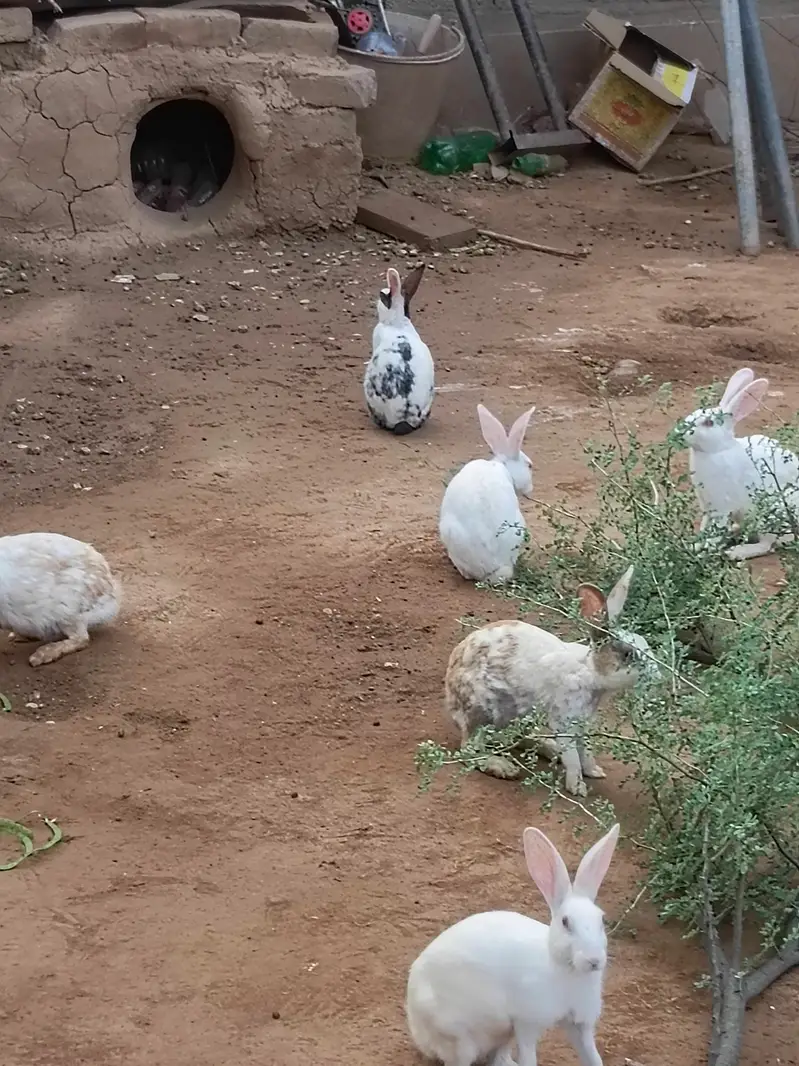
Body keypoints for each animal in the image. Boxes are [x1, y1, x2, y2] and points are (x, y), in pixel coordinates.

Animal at [406, 820, 620, 1066]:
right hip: (460, 1038)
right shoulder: (526, 1023)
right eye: (566, 922)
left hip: (502, 1034)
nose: (594, 960)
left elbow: (593, 1057)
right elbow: (528, 1057)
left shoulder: (579, 1024)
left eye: (601, 920)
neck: (566, 971)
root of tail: (415, 1024)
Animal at [445, 565, 657, 796]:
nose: (657, 676)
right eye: (628, 654)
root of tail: (450, 695)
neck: (590, 672)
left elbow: (585, 750)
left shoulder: (583, 724)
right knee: (469, 749)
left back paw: (549, 751)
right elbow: (573, 756)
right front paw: (578, 788)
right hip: (483, 713)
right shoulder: (564, 721)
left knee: (517, 738)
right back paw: (504, 767)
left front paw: (594, 771)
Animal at [682, 366, 799, 561]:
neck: (717, 450)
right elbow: (705, 527)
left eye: (709, 423)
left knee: (767, 545)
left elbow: (715, 530)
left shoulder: (721, 507)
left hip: (770, 514)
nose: (679, 430)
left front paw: (705, 549)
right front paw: (695, 544)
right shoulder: (707, 509)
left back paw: (736, 552)